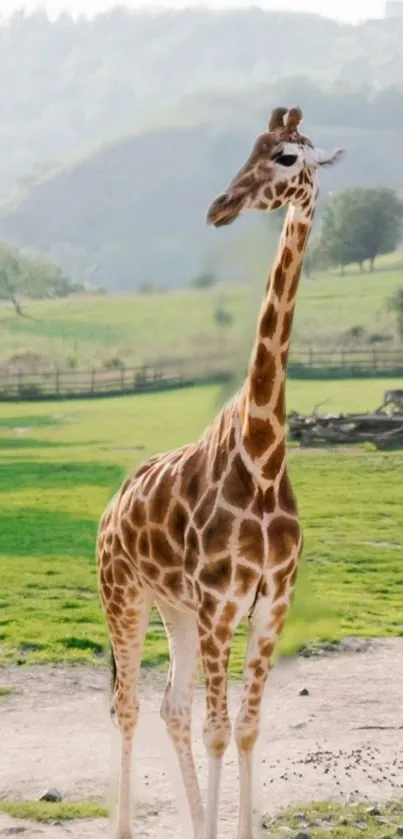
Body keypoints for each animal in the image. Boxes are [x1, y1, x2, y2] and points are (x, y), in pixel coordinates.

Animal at [97, 103, 344, 839]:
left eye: (286, 157)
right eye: (249, 147)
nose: (219, 207)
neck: (262, 454)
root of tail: (109, 509)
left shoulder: (268, 606)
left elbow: (246, 728)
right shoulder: (220, 606)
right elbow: (217, 728)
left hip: (173, 608)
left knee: (169, 706)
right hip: (125, 595)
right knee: (128, 704)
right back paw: (122, 827)